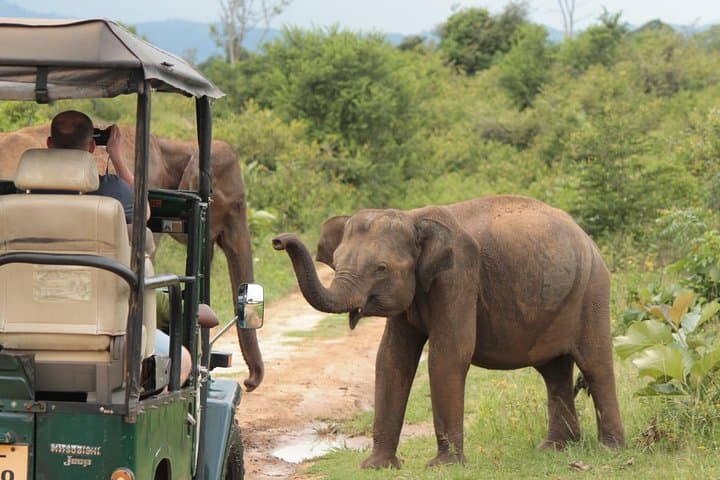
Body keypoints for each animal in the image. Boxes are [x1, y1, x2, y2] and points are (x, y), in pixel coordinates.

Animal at [272, 195, 624, 468]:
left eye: (381, 268)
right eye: (337, 260)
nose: (277, 240)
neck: (414, 218)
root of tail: (586, 237)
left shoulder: (459, 275)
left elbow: (449, 354)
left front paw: (443, 466)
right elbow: (391, 358)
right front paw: (376, 467)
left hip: (592, 289)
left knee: (594, 364)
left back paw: (610, 449)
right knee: (553, 371)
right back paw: (555, 448)